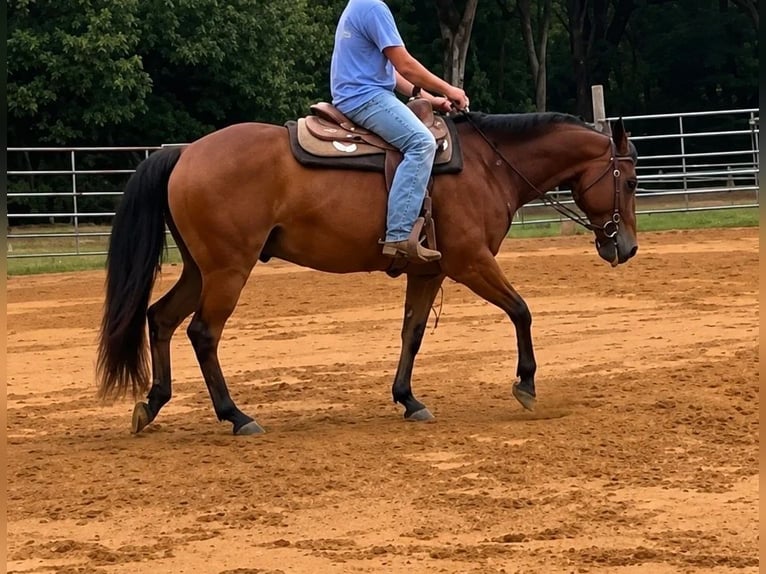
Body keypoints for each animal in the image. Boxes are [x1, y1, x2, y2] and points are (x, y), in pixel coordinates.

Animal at [96, 110, 638, 436]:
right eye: (630, 180)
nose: (627, 247)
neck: (489, 166)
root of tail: (185, 152)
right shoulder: (471, 262)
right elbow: (522, 311)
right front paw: (525, 385)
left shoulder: (430, 271)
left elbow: (412, 333)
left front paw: (409, 400)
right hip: (228, 269)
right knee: (203, 333)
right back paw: (237, 416)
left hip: (200, 269)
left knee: (160, 318)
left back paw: (152, 404)